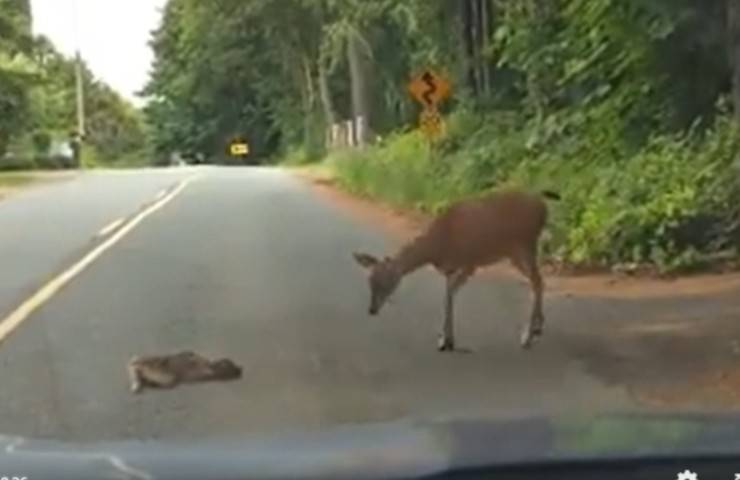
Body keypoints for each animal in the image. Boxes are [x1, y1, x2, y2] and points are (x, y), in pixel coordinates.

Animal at [352, 189, 560, 350]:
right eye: (369, 280)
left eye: (386, 281)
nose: (372, 310)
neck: (437, 247)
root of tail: (543, 205)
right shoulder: (450, 269)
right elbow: (448, 296)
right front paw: (445, 339)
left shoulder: (470, 262)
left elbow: (449, 295)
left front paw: (446, 341)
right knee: (539, 281)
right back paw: (537, 328)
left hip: (522, 246)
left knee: (537, 281)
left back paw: (527, 337)